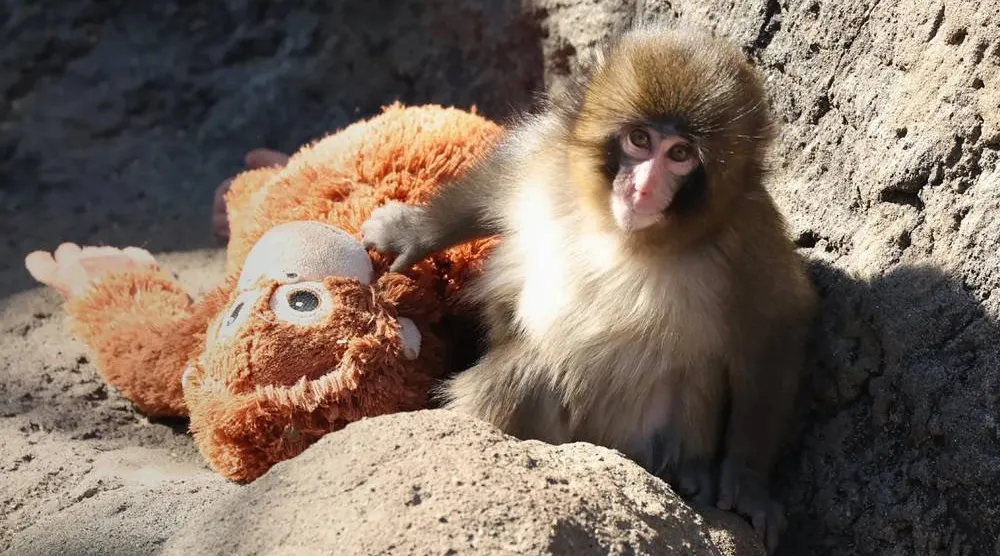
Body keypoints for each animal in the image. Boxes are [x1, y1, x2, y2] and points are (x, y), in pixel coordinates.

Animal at [360, 25, 817, 552]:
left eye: (680, 155)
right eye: (640, 139)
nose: (642, 189)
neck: (622, 234)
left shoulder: (748, 238)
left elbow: (776, 326)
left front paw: (747, 483)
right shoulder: (549, 158)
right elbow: (497, 179)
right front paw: (411, 233)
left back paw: (692, 474)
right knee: (527, 371)